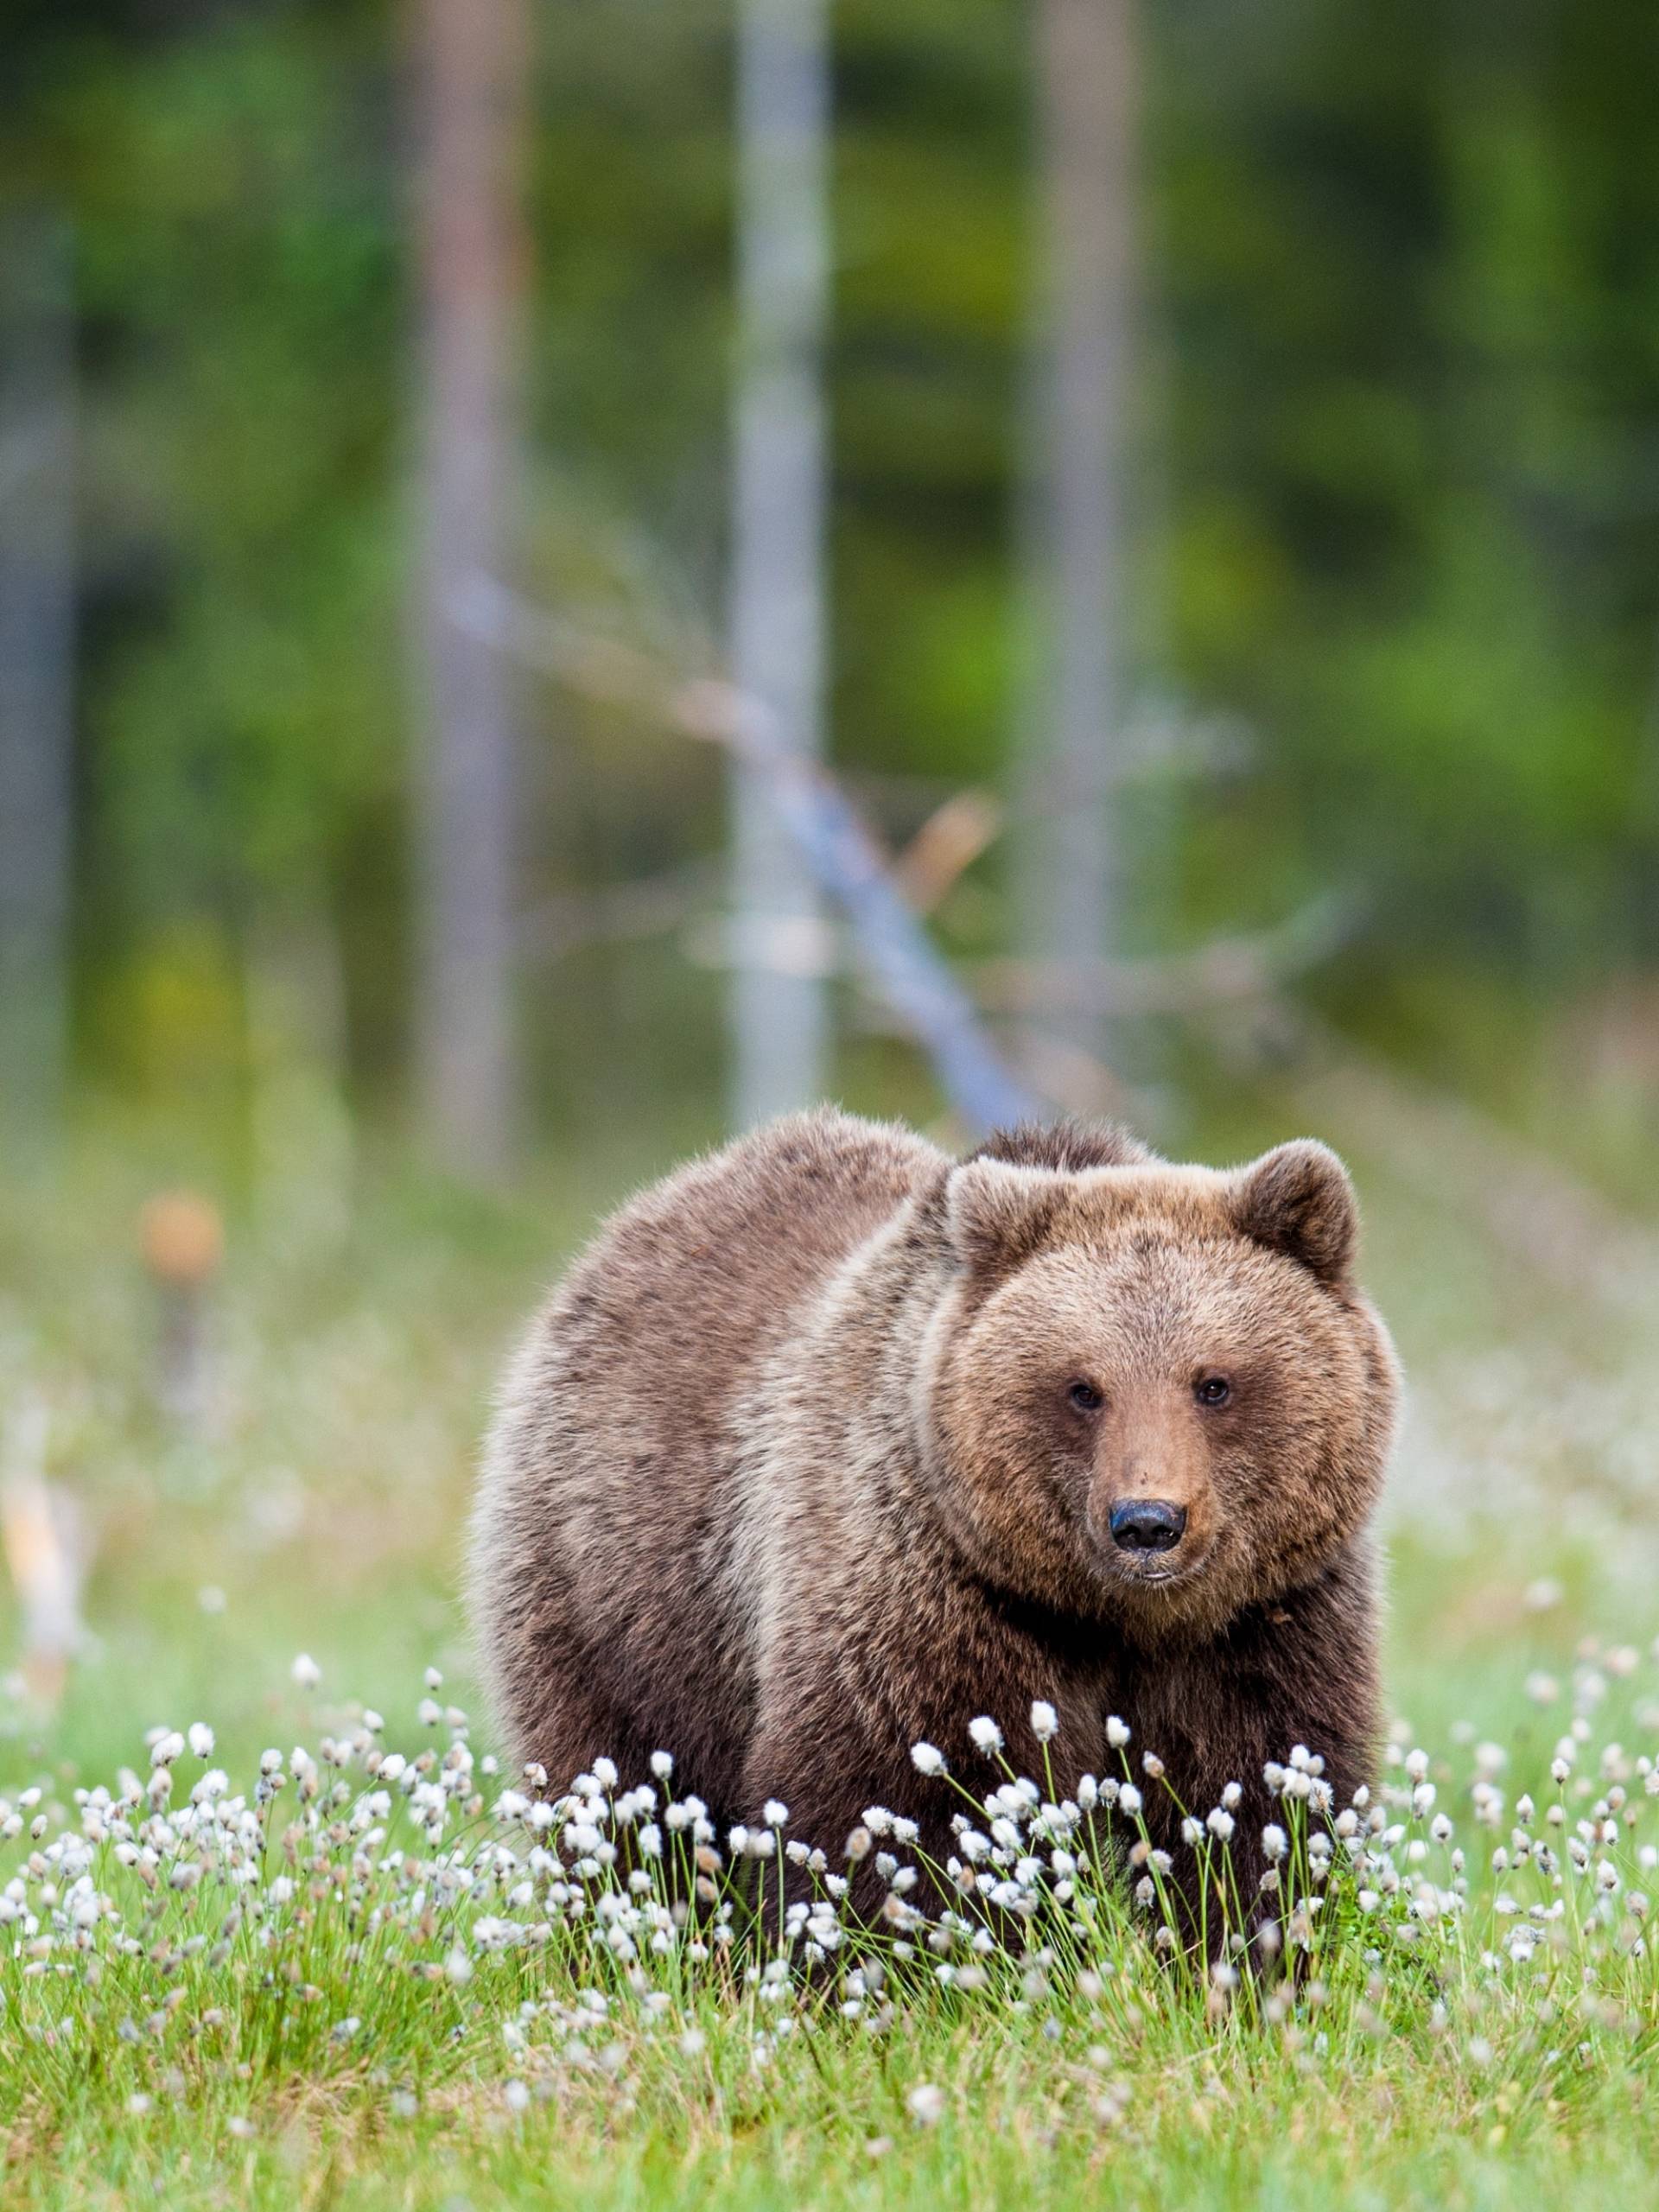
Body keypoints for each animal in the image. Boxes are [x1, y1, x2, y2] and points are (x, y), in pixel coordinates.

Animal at [471, 1115, 1407, 1929]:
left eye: (1214, 1382)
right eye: (1083, 1387)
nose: (1147, 1522)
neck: (1114, 1618)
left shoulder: (1260, 1618)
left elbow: (1256, 1794)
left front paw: (1245, 1952)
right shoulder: (928, 1592)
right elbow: (903, 1803)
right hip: (620, 1591)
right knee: (622, 1794)